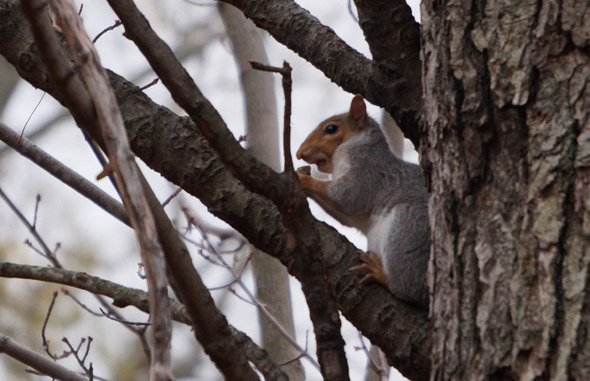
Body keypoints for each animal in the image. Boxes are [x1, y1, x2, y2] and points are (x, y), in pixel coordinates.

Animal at [296, 94, 430, 308]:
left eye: (331, 129)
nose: (299, 153)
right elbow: (345, 216)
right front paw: (302, 174)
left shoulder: (367, 173)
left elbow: (349, 197)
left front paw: (302, 179)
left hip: (408, 228)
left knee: (410, 289)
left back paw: (380, 274)